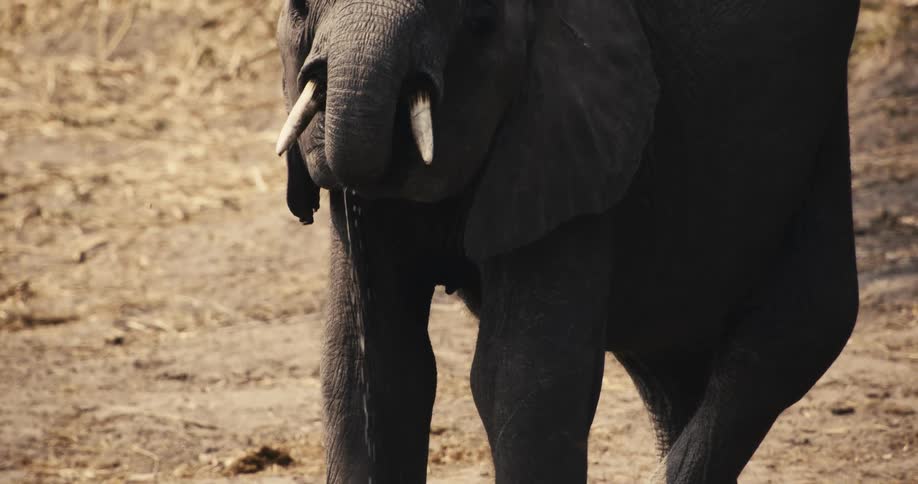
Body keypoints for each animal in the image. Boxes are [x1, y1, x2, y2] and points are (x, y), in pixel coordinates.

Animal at [274, 0, 861, 482]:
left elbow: (524, 377)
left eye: (480, 20)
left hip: (820, 115)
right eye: (299, 7)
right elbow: (372, 371)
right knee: (672, 369)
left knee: (791, 334)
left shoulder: (572, 123)